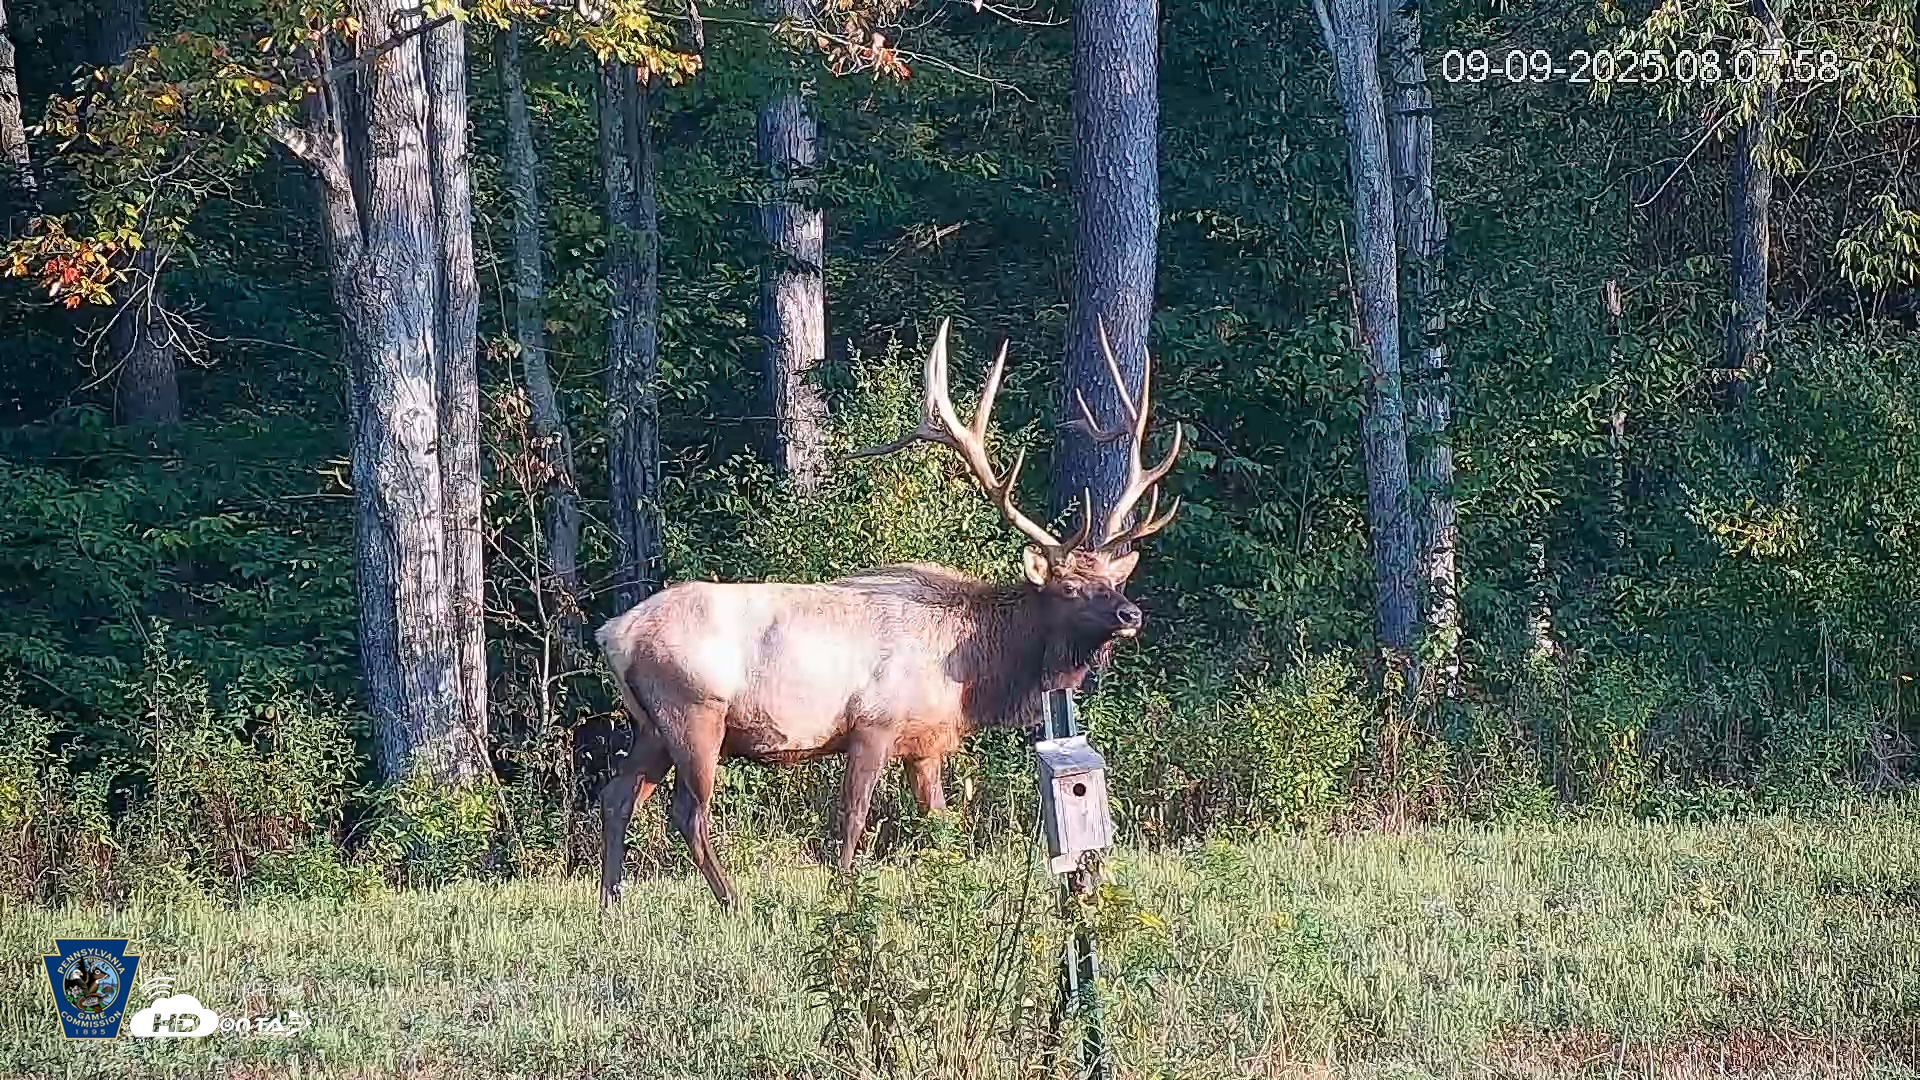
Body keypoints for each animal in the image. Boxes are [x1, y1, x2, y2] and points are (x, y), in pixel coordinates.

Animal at [592, 317, 1182, 910]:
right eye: (1070, 587)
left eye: (1112, 581)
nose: (1131, 614)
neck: (971, 672)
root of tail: (613, 632)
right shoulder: (871, 723)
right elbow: (852, 819)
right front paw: (843, 896)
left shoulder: (926, 742)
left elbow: (939, 821)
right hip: (693, 711)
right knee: (687, 811)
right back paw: (731, 901)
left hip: (651, 724)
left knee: (618, 795)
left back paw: (613, 902)